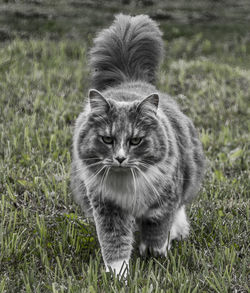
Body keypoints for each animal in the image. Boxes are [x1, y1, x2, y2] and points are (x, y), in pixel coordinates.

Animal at [70, 13, 205, 276]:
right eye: (107, 139)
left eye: (135, 140)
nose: (121, 158)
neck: (127, 182)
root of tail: (130, 79)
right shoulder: (107, 208)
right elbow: (115, 243)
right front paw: (118, 274)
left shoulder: (163, 202)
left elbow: (157, 231)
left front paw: (154, 255)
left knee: (179, 210)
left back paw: (176, 232)